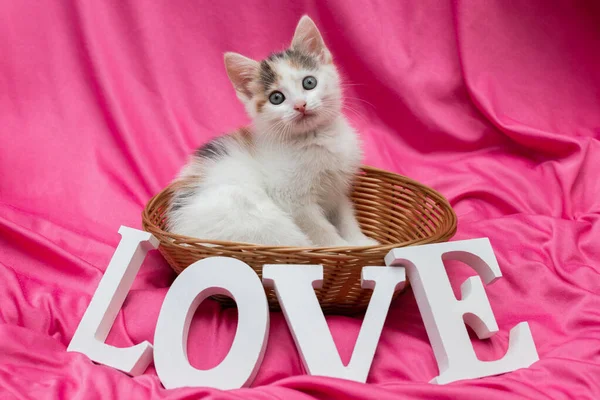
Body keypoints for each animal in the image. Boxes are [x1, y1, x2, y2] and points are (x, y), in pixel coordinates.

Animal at [166, 15, 378, 247]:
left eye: (309, 82)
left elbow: (345, 215)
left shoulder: (337, 189)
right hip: (261, 220)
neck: (314, 138)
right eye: (276, 98)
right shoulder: (292, 200)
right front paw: (340, 248)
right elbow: (320, 229)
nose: (300, 105)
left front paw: (360, 242)